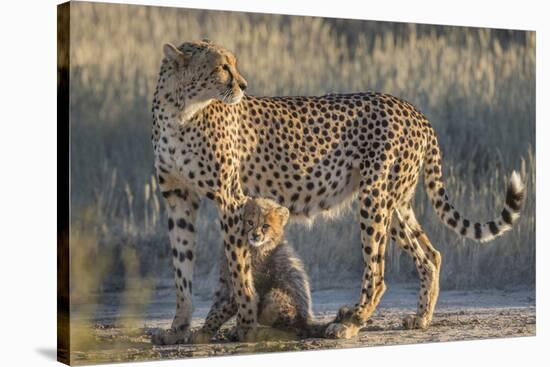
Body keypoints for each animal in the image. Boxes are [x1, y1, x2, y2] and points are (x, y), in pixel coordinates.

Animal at [150, 41, 528, 344]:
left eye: (233, 64)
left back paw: (351, 323)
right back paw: (420, 318)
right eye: (221, 66)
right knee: (429, 254)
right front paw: (178, 328)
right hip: (395, 202)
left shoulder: (230, 199)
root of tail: (412, 108)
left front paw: (243, 325)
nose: (243, 85)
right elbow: (181, 269)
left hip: (374, 198)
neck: (180, 110)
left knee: (377, 270)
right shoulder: (178, 198)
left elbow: (239, 267)